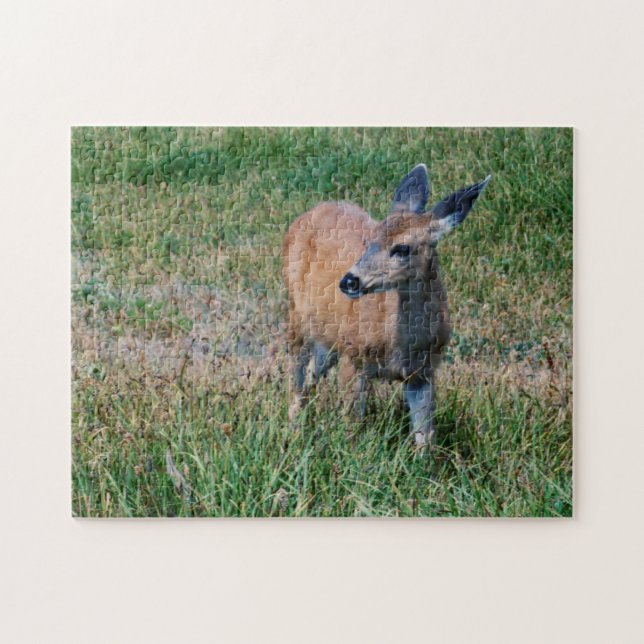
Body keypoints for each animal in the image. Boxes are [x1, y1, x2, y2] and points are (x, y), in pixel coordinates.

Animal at [283, 164, 490, 447]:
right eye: (370, 240)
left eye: (402, 248)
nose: (349, 281)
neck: (399, 344)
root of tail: (313, 210)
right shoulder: (354, 356)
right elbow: (352, 427)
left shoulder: (423, 372)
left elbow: (426, 437)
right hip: (296, 315)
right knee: (296, 376)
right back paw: (291, 434)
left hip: (329, 337)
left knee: (312, 374)